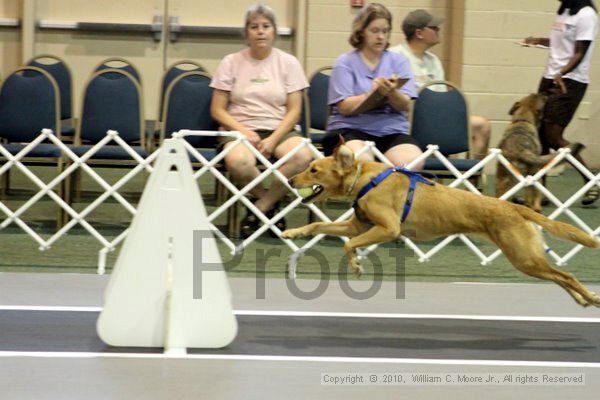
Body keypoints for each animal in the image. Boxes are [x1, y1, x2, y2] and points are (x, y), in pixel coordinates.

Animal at [282, 139, 600, 308]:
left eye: (314, 170)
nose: (290, 180)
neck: (365, 179)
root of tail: (513, 205)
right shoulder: (358, 226)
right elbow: (317, 228)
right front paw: (292, 231)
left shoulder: (387, 229)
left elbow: (349, 245)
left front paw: (357, 266)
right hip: (528, 259)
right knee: (560, 277)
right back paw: (583, 300)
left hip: (524, 258)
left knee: (566, 276)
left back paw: (590, 298)